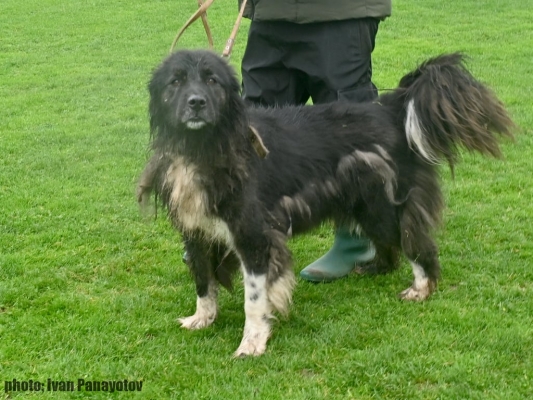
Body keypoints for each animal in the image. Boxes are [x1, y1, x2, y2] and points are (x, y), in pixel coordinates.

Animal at [137, 50, 514, 357]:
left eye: (212, 80)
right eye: (176, 81)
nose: (196, 102)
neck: (206, 145)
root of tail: (392, 107)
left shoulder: (255, 236)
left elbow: (254, 299)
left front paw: (253, 342)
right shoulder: (195, 230)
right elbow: (203, 280)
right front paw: (203, 318)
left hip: (387, 202)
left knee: (417, 243)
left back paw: (421, 287)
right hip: (367, 202)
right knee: (387, 241)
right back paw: (377, 266)